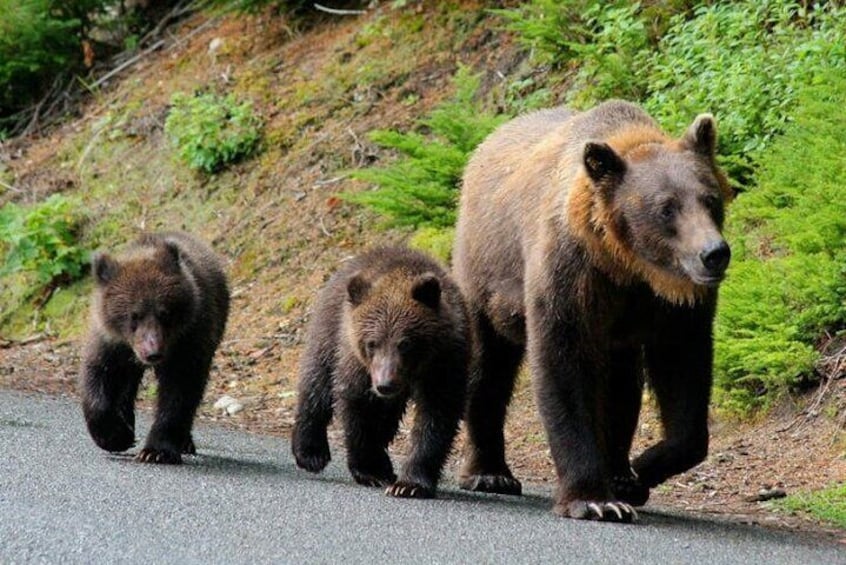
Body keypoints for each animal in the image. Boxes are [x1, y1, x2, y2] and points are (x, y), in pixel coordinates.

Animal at [80, 229, 230, 462]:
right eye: (134, 315)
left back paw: (185, 442)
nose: (153, 352)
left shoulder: (189, 340)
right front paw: (116, 435)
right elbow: (98, 375)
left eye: (165, 313)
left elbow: (179, 391)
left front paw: (157, 451)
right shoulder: (110, 342)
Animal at [294, 247, 470, 498]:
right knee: (317, 383)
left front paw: (409, 484)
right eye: (372, 343)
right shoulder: (357, 364)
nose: (385, 384)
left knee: (388, 419)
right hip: (329, 332)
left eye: (405, 343)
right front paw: (370, 470)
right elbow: (358, 405)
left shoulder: (445, 362)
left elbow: (437, 417)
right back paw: (311, 452)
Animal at [454, 100, 732, 520]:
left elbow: (684, 377)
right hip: (486, 274)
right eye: (666, 208)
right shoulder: (572, 275)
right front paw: (594, 499)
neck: (626, 264)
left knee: (622, 385)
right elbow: (563, 366)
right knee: (487, 364)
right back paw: (490, 473)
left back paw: (618, 469)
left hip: (618, 339)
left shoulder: (670, 306)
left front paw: (636, 473)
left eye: (710, 198)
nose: (714, 253)